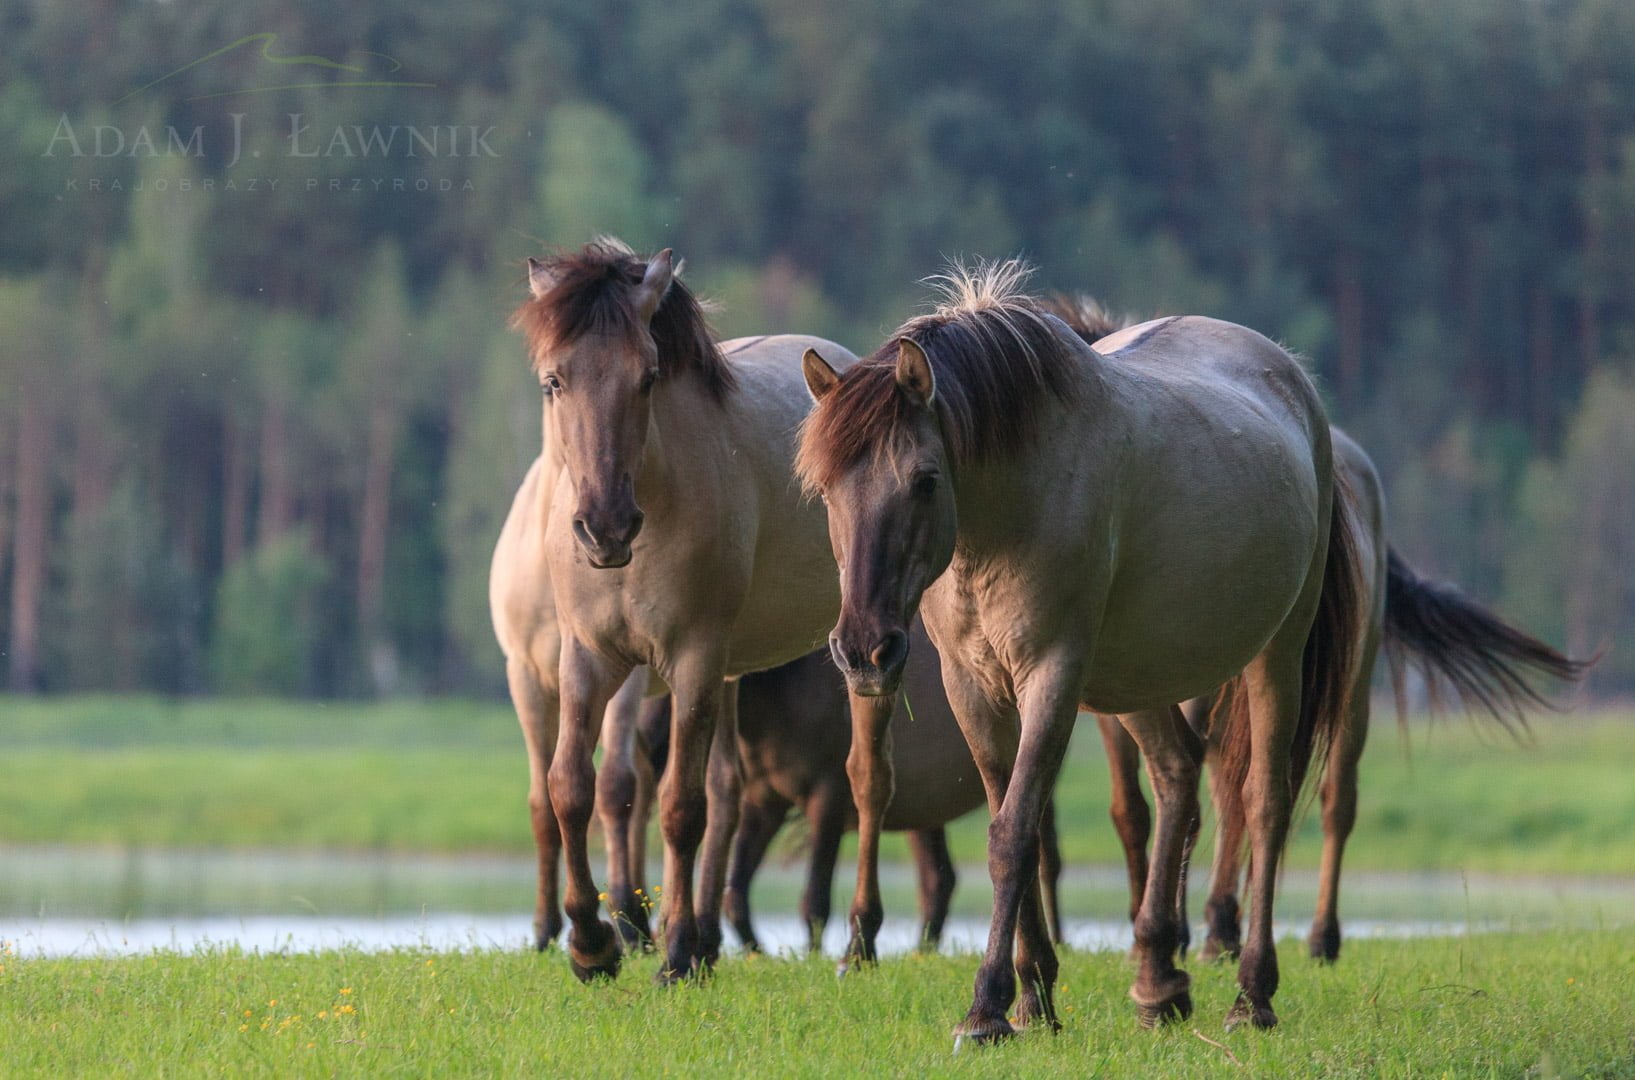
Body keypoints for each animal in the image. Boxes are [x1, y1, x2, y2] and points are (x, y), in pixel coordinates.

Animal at [497, 240, 909, 980]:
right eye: (553, 381)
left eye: (648, 376)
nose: (605, 527)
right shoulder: (588, 659)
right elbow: (570, 787)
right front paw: (590, 941)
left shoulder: (687, 658)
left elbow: (676, 807)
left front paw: (673, 954)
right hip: (730, 672)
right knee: (726, 790)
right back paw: (705, 935)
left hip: (859, 653)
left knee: (867, 780)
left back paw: (856, 941)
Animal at [794, 261, 1366, 1039]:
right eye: (824, 488)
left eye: (924, 480)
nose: (863, 651)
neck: (1010, 503)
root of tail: (1295, 386)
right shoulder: (974, 688)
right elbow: (1021, 827)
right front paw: (1034, 995)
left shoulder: (1052, 675)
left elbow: (1011, 833)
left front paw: (986, 1008)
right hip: (1140, 674)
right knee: (1176, 775)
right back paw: (1157, 981)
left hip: (1277, 651)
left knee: (1263, 804)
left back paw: (1252, 994)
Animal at [1039, 292, 1589, 960]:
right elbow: (1133, 808)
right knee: (1234, 783)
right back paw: (1220, 924)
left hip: (1346, 683)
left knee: (1332, 799)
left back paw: (1315, 935)